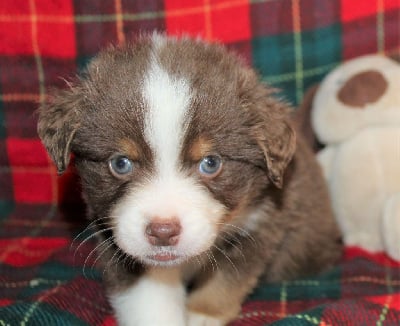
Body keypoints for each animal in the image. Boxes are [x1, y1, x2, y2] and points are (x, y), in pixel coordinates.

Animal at [37, 35, 342, 326]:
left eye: (210, 163)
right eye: (120, 163)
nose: (162, 231)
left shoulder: (262, 223)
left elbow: (226, 279)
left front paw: (202, 314)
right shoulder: (116, 237)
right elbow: (148, 298)